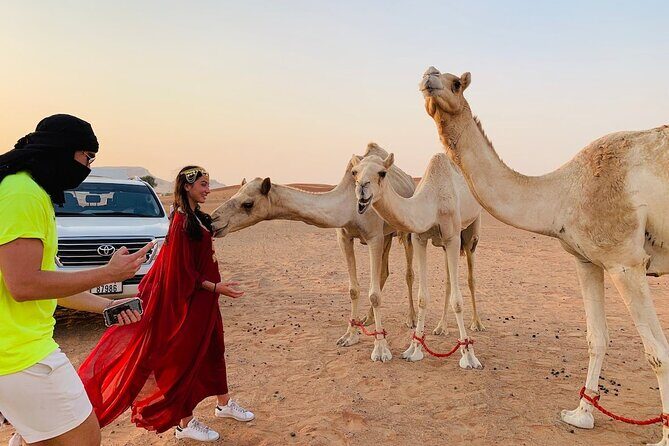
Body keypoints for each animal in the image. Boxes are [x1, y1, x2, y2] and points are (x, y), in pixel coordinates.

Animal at [210, 144, 417, 362]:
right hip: (388, 235)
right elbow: (353, 289)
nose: (212, 220)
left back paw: (411, 319)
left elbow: (374, 294)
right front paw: (349, 336)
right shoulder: (344, 236)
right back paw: (367, 318)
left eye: (248, 204)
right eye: (232, 196)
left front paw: (380, 348)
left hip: (404, 230)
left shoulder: (374, 237)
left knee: (408, 273)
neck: (349, 206)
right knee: (384, 272)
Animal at [351, 151, 484, 368]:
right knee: (449, 280)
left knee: (471, 278)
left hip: (470, 234)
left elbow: (458, 300)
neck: (432, 203)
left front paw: (469, 355)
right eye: (354, 172)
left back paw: (477, 324)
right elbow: (423, 297)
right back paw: (441, 327)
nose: (362, 188)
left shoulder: (452, 237)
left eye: (382, 172)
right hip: (444, 244)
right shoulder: (419, 238)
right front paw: (414, 348)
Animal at [420, 66, 669, 445]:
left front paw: (666, 437)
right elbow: (596, 338)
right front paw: (580, 414)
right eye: (428, 75)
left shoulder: (626, 261)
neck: (563, 192)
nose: (429, 78)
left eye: (456, 83)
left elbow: (658, 353)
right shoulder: (587, 260)